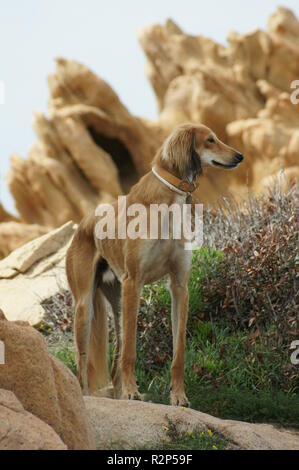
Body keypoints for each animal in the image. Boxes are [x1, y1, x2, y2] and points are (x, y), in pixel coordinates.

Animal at [65, 123, 244, 406]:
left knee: (114, 360)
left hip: (117, 303)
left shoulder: (179, 285)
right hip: (86, 307)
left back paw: (119, 395)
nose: (240, 156)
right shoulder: (134, 281)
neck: (169, 202)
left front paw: (179, 397)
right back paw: (90, 395)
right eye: (210, 140)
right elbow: (131, 350)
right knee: (83, 361)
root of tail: (83, 223)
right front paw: (132, 391)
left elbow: (178, 352)